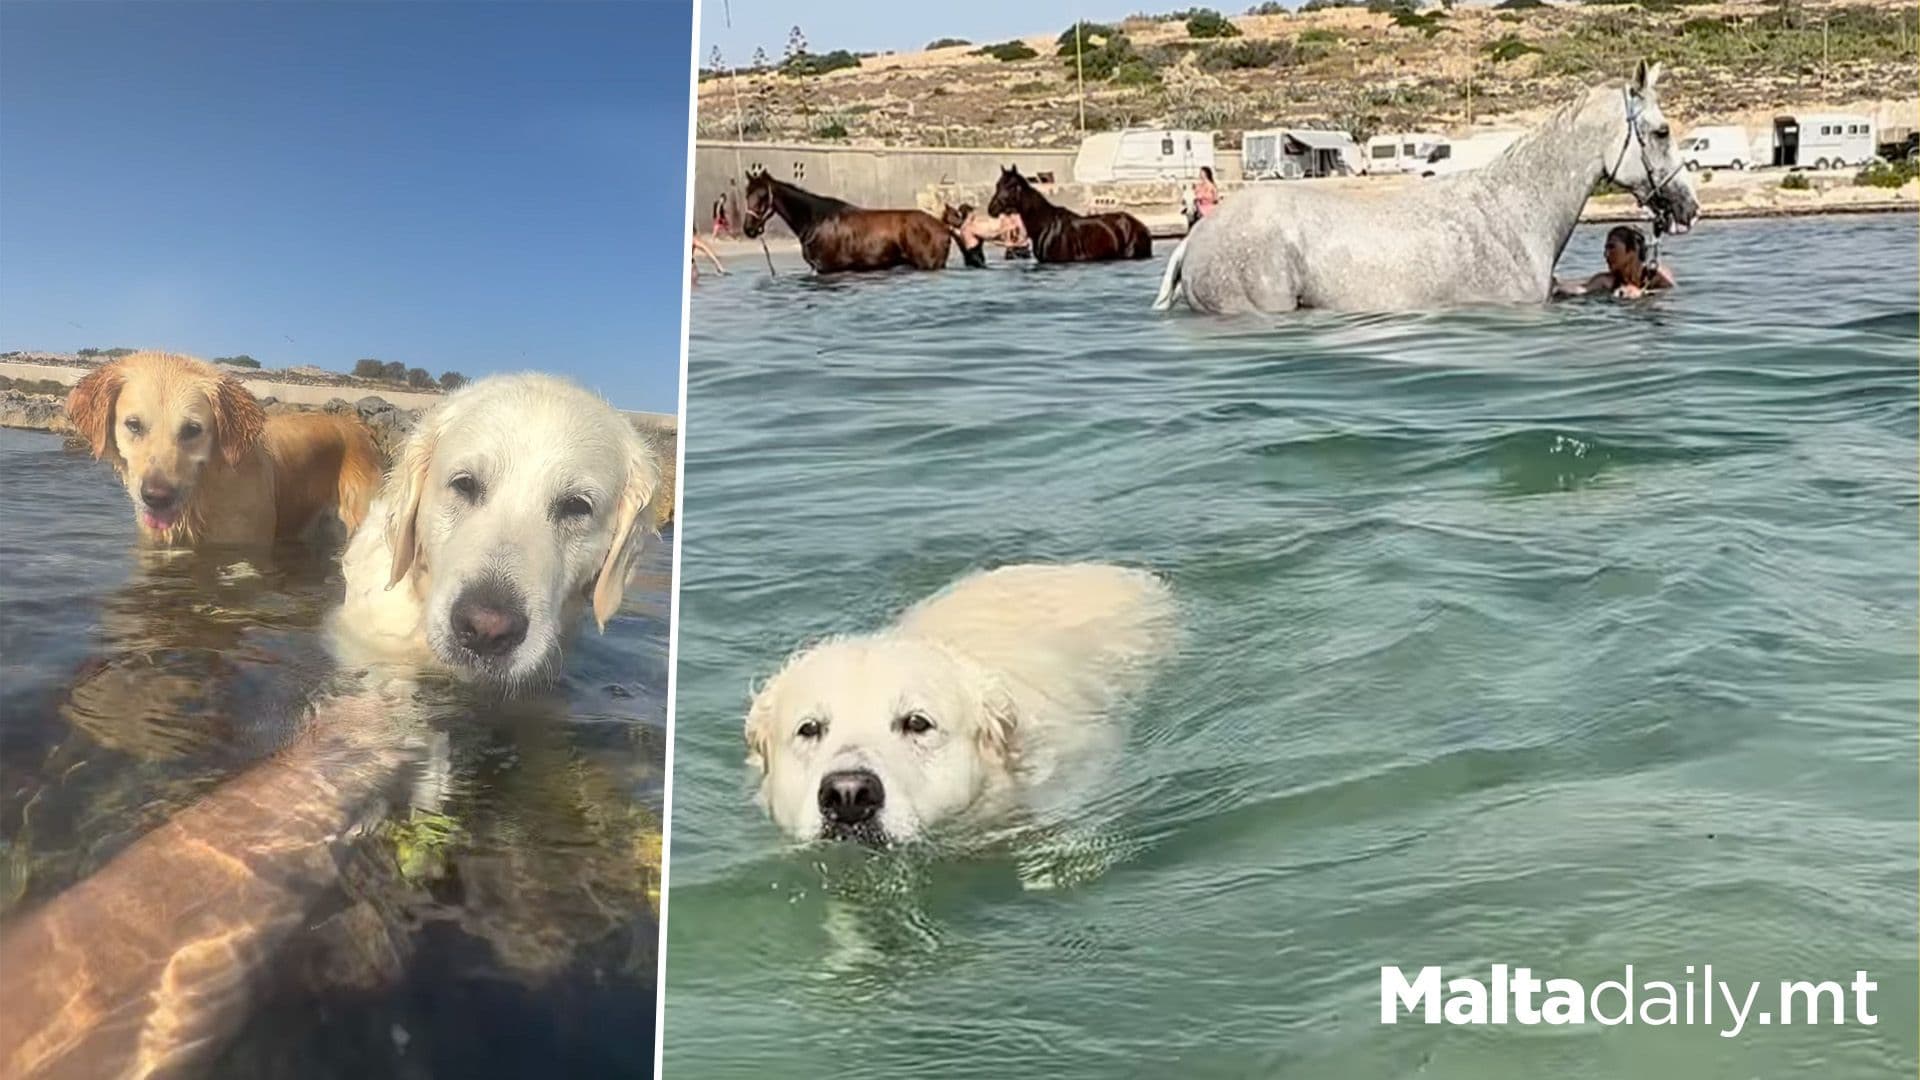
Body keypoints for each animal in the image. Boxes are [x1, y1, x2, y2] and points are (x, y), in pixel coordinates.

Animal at [741, 170, 952, 273]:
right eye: (747, 194)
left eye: (762, 195)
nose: (748, 229)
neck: (816, 221)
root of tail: (943, 227)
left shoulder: (826, 268)